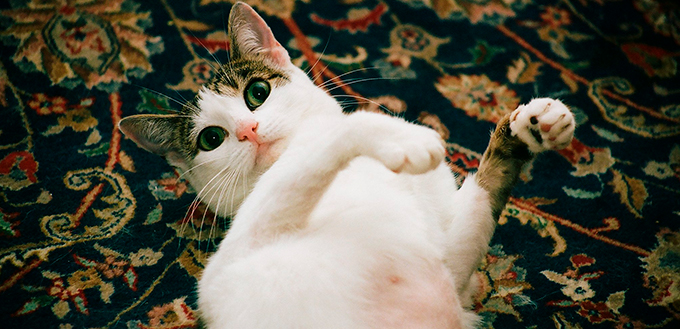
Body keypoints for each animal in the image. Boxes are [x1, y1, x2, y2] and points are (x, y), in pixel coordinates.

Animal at [119, 3, 576, 328]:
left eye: (257, 92)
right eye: (211, 139)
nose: (249, 130)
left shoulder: (452, 256)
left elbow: (483, 198)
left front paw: (529, 128)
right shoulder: (228, 266)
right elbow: (336, 135)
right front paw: (399, 136)